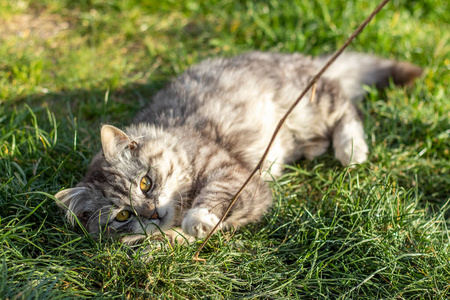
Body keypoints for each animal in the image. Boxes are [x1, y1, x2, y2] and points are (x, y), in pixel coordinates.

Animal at [53, 51, 422, 244]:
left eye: (146, 183)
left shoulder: (236, 175)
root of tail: (294, 58)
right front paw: (170, 239)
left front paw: (197, 221)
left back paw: (351, 151)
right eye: (123, 216)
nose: (153, 213)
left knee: (347, 109)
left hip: (310, 105)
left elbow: (212, 201)